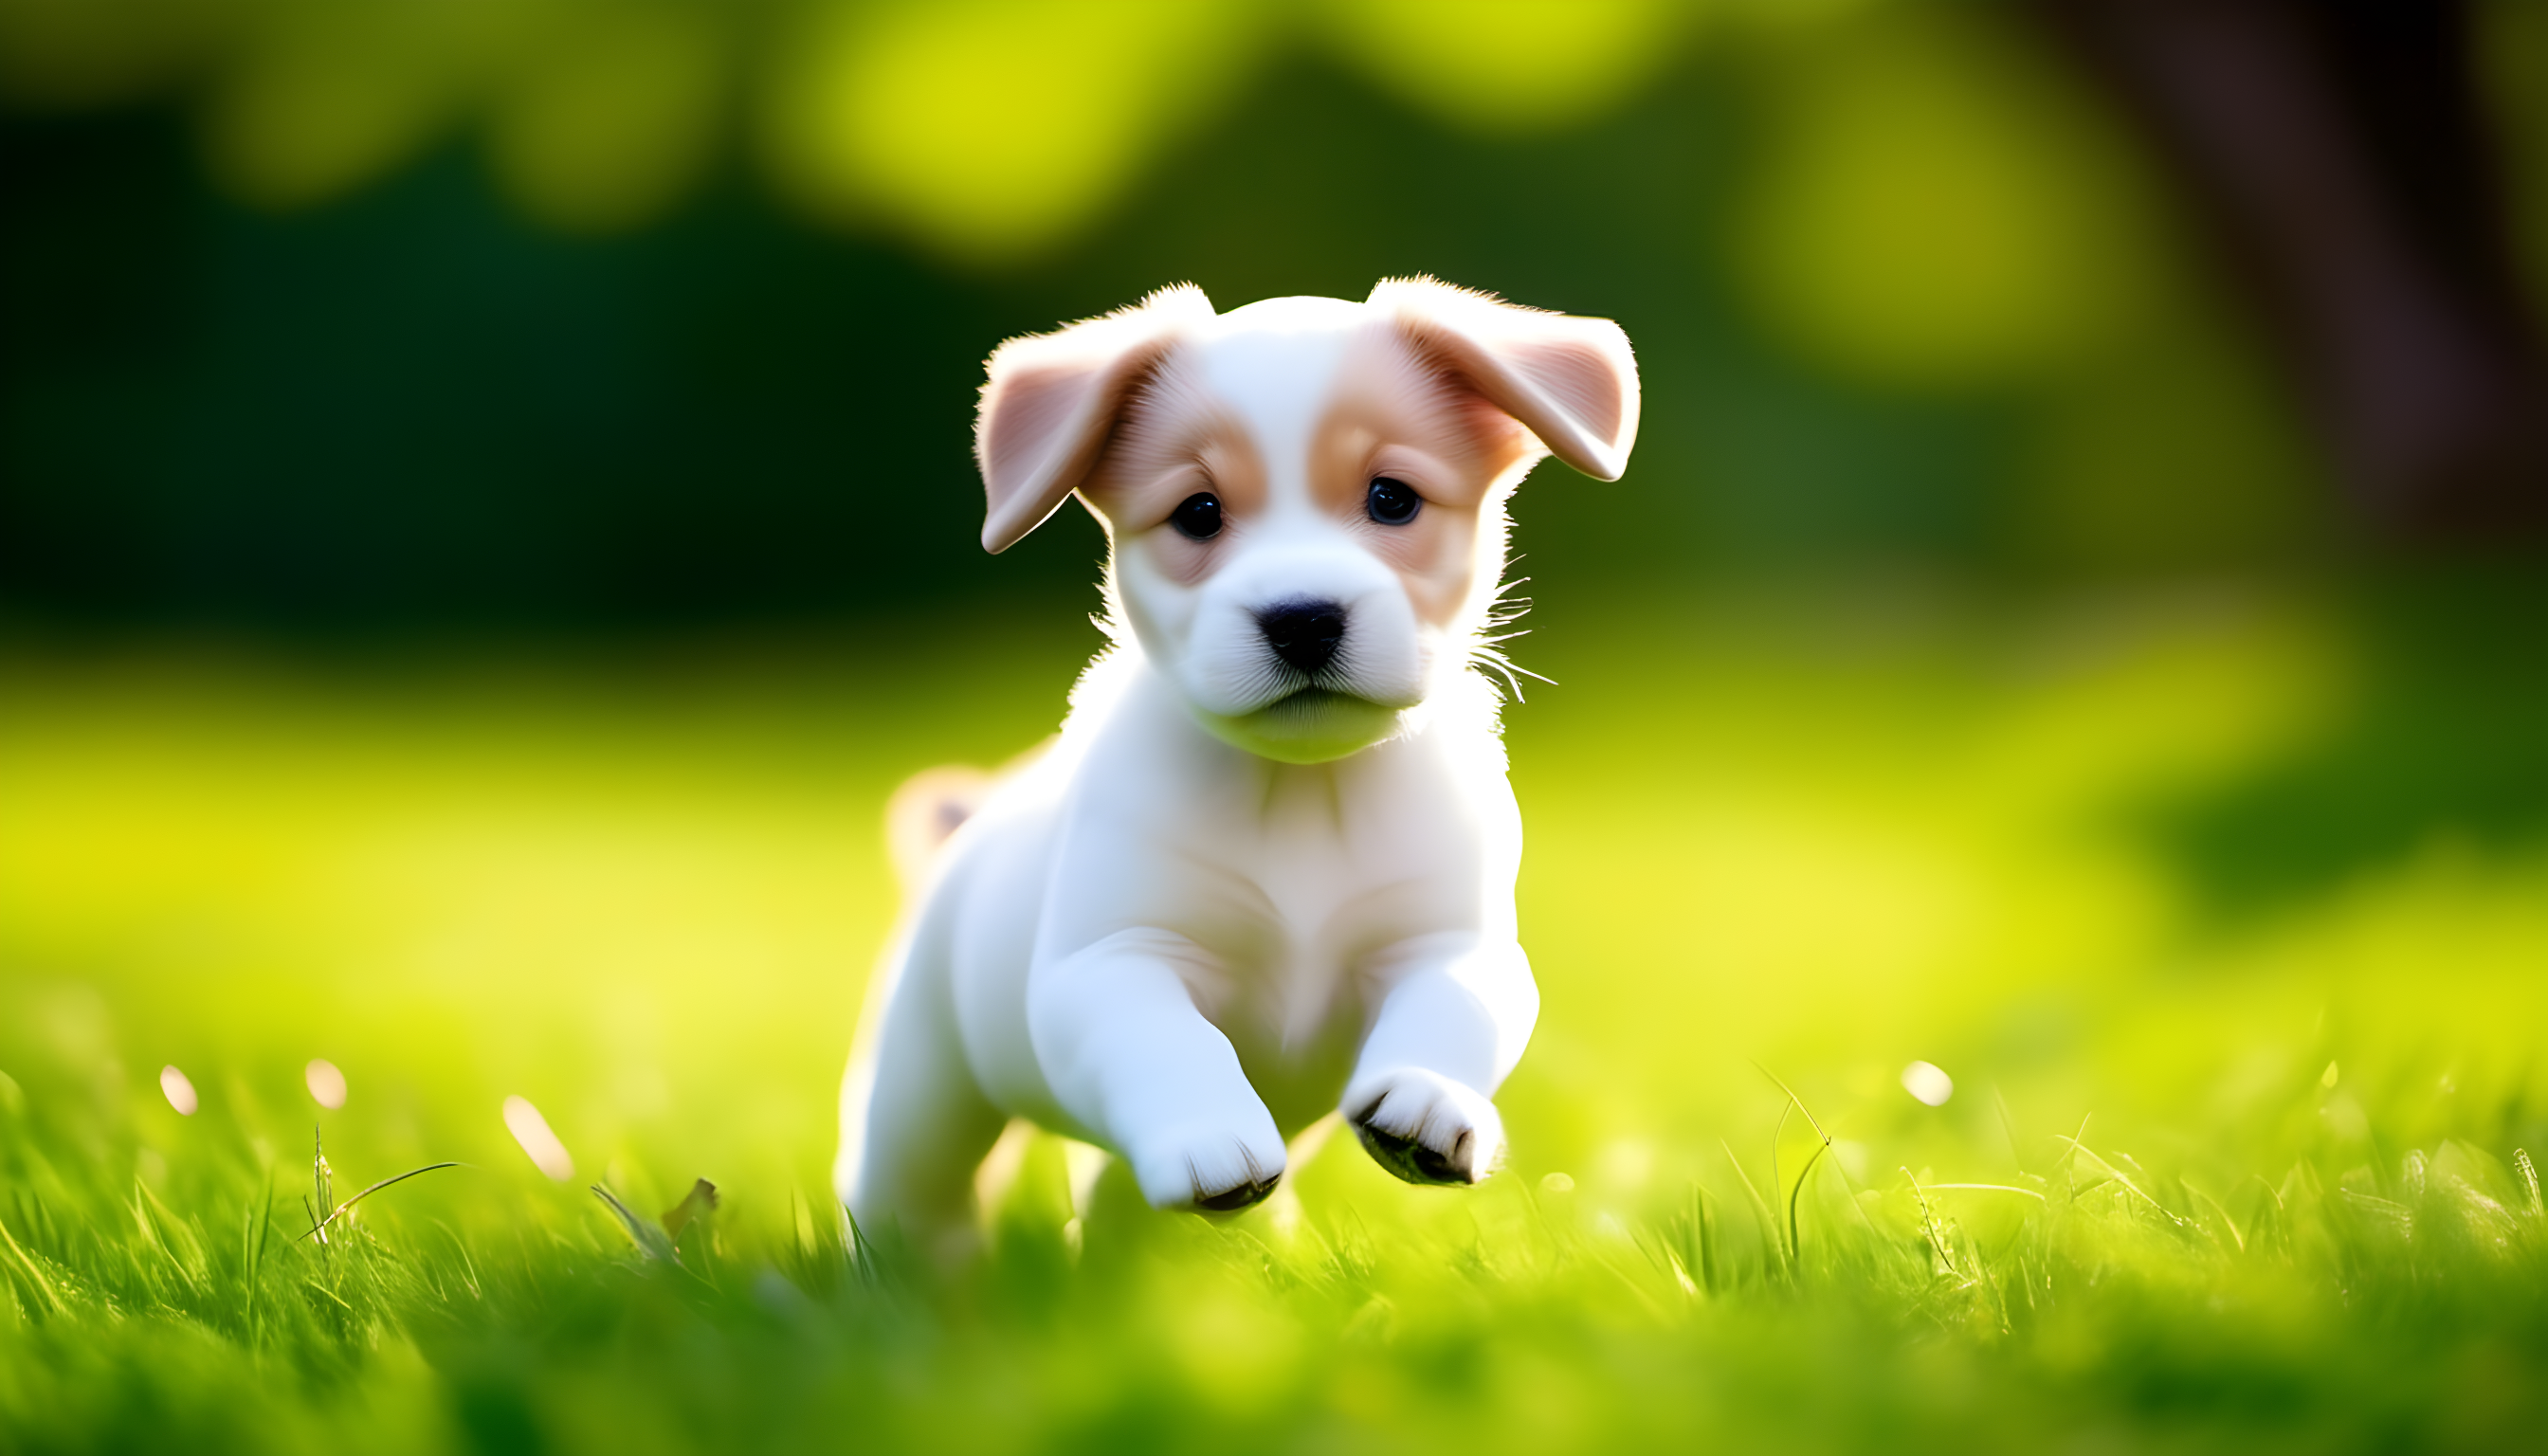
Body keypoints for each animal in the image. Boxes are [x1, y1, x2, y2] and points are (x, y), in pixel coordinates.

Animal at [835, 279, 1630, 1233]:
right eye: (1199, 512)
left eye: (1392, 498)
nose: (1303, 618)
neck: (1303, 792)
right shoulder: (1113, 962)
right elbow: (1169, 1041)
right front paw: (1209, 1135)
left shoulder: (1451, 940)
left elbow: (1458, 1003)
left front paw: (1430, 1102)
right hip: (923, 1088)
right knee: (912, 1189)